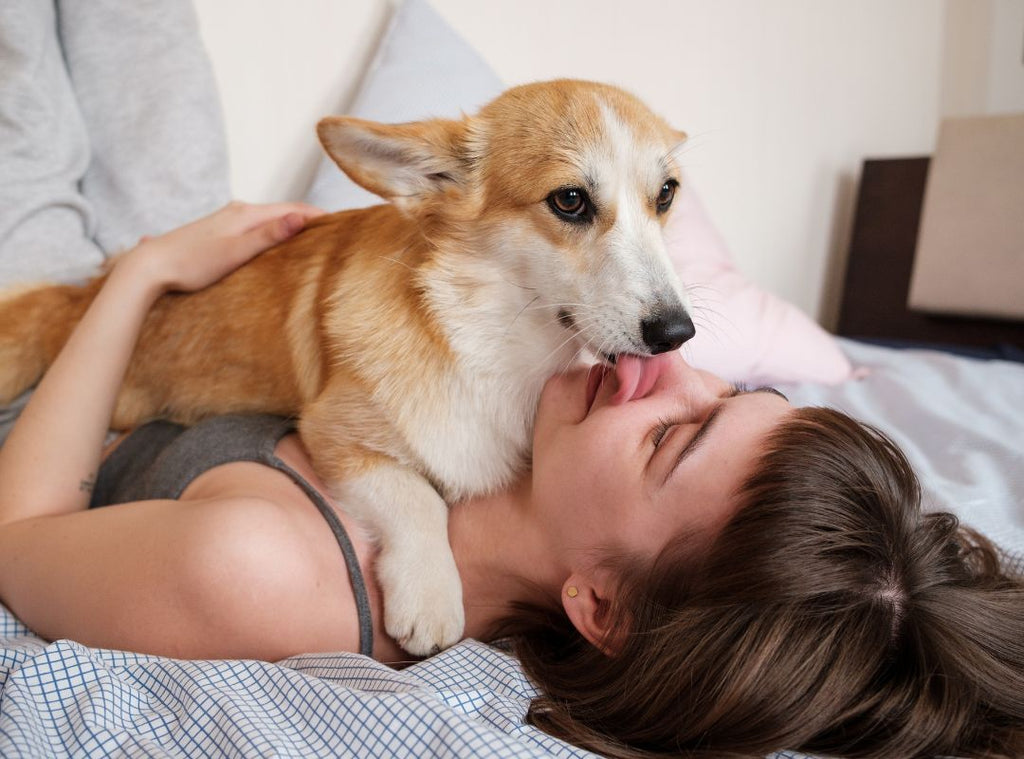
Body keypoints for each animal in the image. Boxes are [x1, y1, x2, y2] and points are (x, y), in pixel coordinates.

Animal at [0, 79, 696, 655]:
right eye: (570, 200)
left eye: (666, 194)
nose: (677, 333)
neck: (499, 345)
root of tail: (78, 298)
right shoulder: (336, 434)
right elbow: (418, 496)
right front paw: (430, 595)